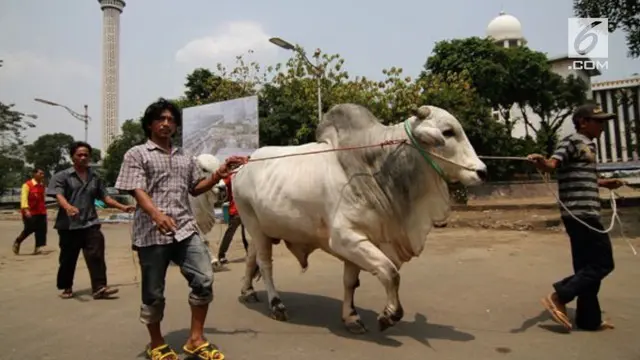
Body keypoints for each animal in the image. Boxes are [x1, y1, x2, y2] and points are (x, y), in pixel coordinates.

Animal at [232, 102, 488, 334]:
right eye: (448, 131)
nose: (482, 171)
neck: (376, 169)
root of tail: (243, 165)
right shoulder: (345, 238)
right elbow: (390, 273)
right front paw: (389, 315)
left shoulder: (362, 239)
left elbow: (351, 282)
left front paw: (351, 317)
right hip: (253, 223)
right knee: (265, 264)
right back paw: (276, 305)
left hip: (261, 228)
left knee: (251, 256)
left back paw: (247, 291)